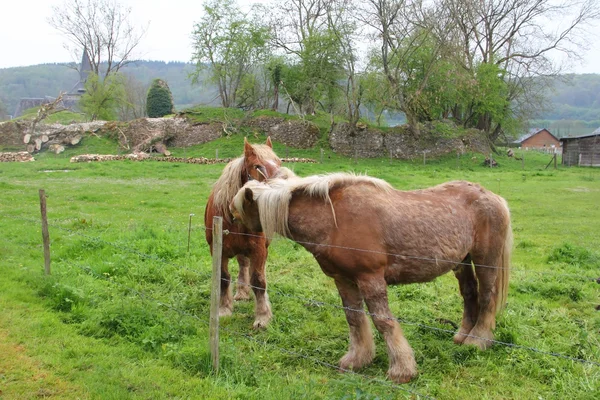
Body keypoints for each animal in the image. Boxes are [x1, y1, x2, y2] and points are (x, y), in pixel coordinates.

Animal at [204, 138, 282, 328]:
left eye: (279, 163)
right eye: (257, 166)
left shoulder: (259, 250)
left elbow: (259, 281)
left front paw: (262, 317)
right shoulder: (218, 250)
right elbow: (223, 278)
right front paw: (224, 309)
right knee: (242, 264)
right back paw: (241, 292)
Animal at [232, 173, 512, 384]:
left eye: (238, 210)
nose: (234, 234)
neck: (334, 219)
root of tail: (493, 197)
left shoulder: (370, 279)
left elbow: (383, 322)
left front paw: (402, 370)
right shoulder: (344, 280)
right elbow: (355, 319)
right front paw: (357, 360)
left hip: (485, 261)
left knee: (487, 297)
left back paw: (477, 341)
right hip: (461, 262)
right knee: (470, 295)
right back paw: (462, 336)